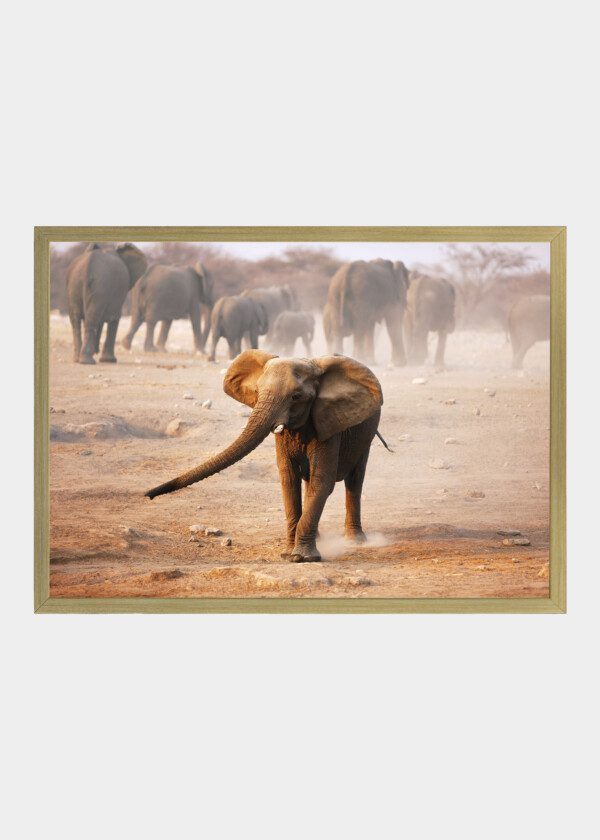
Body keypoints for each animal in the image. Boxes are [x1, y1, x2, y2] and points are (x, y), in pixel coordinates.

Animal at [146, 350, 384, 563]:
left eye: (296, 397)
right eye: (258, 391)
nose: (148, 495)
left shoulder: (329, 426)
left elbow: (322, 480)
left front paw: (302, 558)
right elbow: (289, 479)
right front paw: (288, 554)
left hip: (366, 433)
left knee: (354, 479)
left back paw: (356, 541)